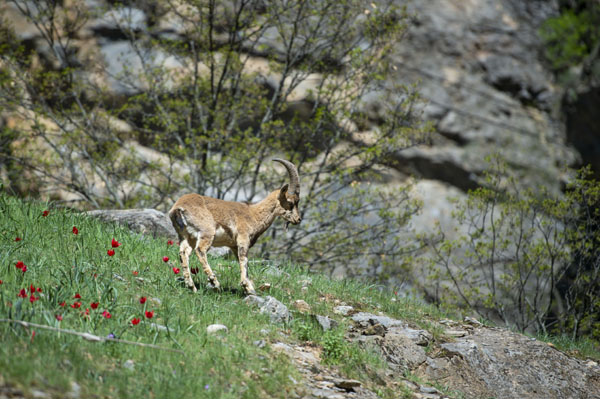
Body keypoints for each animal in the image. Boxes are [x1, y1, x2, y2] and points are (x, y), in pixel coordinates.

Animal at [168, 160, 300, 296]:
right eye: (291, 202)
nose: (298, 219)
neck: (253, 214)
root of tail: (178, 208)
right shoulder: (243, 239)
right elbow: (244, 260)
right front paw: (248, 288)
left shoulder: (233, 245)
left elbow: (241, 261)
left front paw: (248, 287)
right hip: (206, 232)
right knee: (200, 250)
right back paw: (215, 283)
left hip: (187, 236)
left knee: (183, 252)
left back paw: (192, 286)